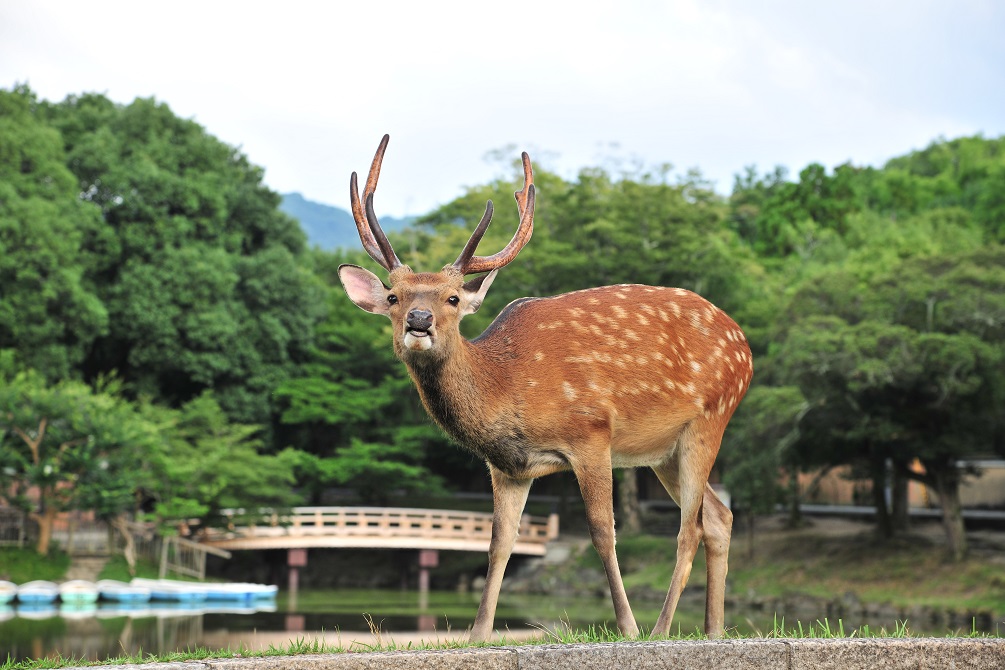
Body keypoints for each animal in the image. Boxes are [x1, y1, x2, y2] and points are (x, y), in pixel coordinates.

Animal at [337, 133, 755, 642]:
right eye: (394, 297)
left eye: (453, 298)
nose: (419, 320)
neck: (508, 387)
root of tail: (745, 346)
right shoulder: (508, 467)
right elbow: (499, 542)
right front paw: (478, 634)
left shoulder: (591, 432)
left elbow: (603, 529)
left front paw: (627, 627)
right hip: (664, 453)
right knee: (719, 516)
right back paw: (713, 629)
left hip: (710, 419)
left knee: (689, 526)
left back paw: (659, 629)